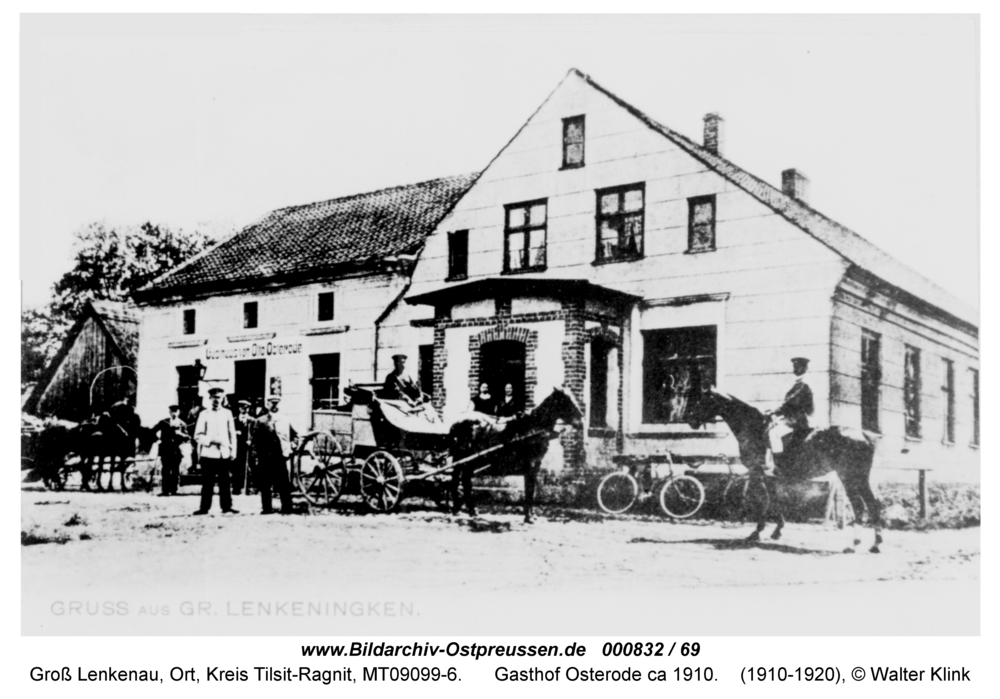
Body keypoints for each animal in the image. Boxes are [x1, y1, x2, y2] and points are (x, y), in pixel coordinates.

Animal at [448, 388, 584, 524]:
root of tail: (456, 423)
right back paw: (463, 509)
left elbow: (532, 489)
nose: (581, 422)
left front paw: (531, 515)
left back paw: (468, 510)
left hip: (467, 460)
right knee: (460, 480)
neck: (533, 427)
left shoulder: (536, 464)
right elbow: (529, 489)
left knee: (463, 480)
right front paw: (528, 517)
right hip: (464, 459)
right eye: (566, 400)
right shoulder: (529, 465)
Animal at [688, 388, 884, 552]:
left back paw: (856, 544)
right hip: (859, 478)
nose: (690, 421)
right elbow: (774, 500)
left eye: (702, 401)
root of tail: (864, 435)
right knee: (872, 504)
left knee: (861, 506)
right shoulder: (771, 476)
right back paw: (874, 544)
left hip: (850, 477)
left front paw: (757, 532)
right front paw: (776, 530)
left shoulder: (758, 473)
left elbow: (764, 501)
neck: (753, 428)